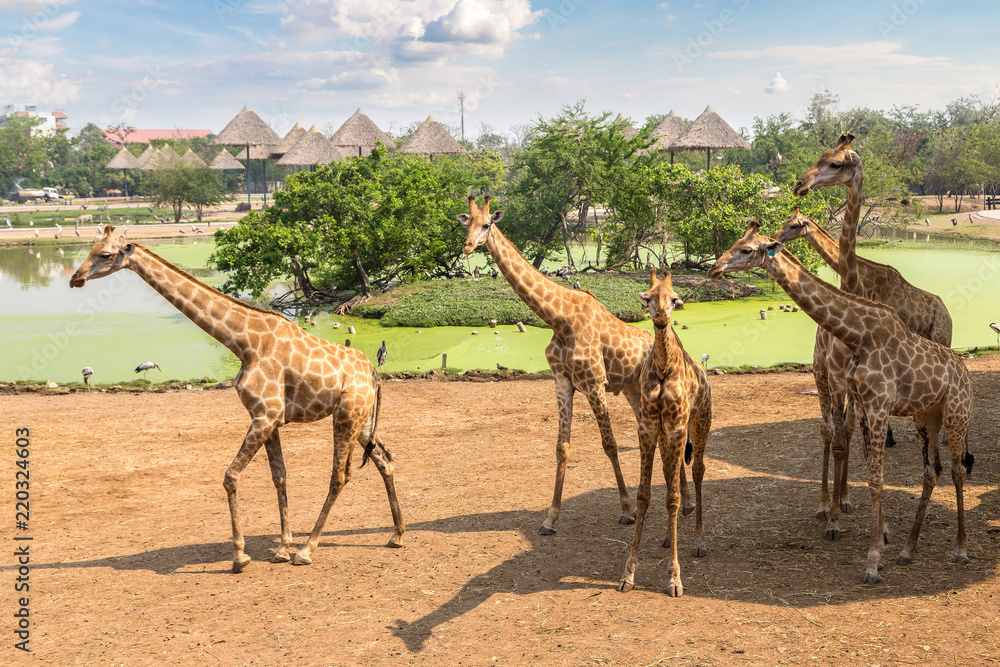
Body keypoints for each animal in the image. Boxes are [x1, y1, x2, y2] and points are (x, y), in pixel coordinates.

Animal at [70, 227, 405, 572]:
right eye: (91, 248)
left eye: (105, 254)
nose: (75, 278)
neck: (242, 342)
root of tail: (374, 373)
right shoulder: (268, 417)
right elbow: (279, 477)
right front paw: (281, 548)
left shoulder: (266, 414)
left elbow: (231, 476)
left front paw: (240, 556)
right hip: (362, 418)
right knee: (385, 459)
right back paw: (396, 535)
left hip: (347, 415)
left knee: (340, 476)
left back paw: (307, 550)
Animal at [459, 195, 700, 534]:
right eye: (466, 222)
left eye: (486, 224)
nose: (467, 246)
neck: (560, 319)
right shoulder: (562, 383)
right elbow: (562, 447)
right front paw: (550, 518)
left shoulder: (594, 384)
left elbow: (610, 444)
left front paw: (626, 509)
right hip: (633, 391)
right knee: (660, 437)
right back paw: (683, 500)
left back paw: (687, 503)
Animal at [617, 271, 711, 596]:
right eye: (647, 298)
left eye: (674, 298)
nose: (660, 317)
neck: (662, 369)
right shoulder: (647, 428)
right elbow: (645, 495)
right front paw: (628, 574)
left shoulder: (679, 427)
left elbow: (673, 497)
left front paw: (675, 578)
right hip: (665, 436)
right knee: (671, 473)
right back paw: (671, 538)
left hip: (700, 423)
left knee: (697, 472)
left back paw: (698, 541)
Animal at [709, 223, 974, 584]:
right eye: (737, 242)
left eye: (747, 249)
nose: (714, 268)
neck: (857, 335)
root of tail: (965, 371)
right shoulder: (863, 401)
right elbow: (858, 457)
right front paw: (875, 544)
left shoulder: (877, 405)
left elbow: (876, 478)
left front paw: (873, 562)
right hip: (927, 416)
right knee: (932, 470)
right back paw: (908, 550)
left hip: (956, 413)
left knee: (959, 469)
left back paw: (960, 550)